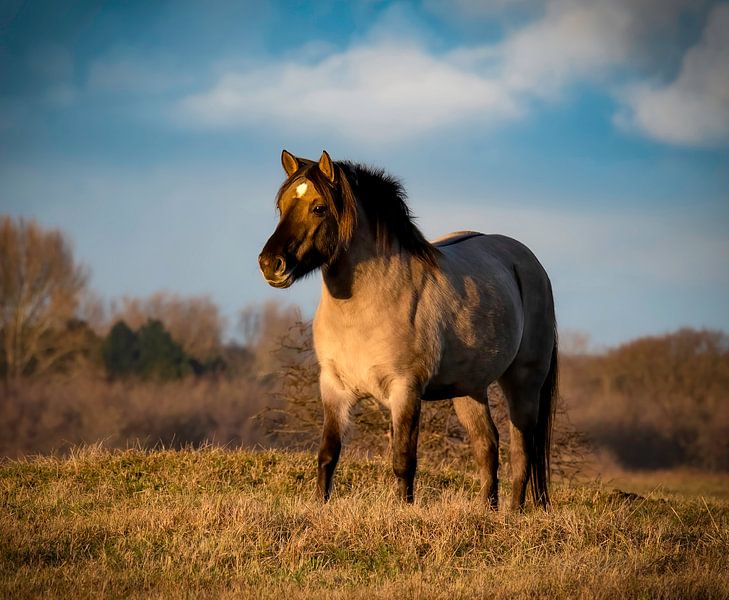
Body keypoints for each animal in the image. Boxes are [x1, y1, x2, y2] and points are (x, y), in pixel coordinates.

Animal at [259, 150, 558, 511]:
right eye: (282, 206)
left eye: (319, 207)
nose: (270, 264)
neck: (367, 307)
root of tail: (529, 264)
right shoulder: (334, 388)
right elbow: (328, 454)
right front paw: (320, 505)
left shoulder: (405, 390)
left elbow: (403, 460)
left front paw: (403, 510)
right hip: (469, 389)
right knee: (487, 446)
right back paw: (486, 510)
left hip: (524, 382)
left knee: (522, 451)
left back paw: (512, 514)